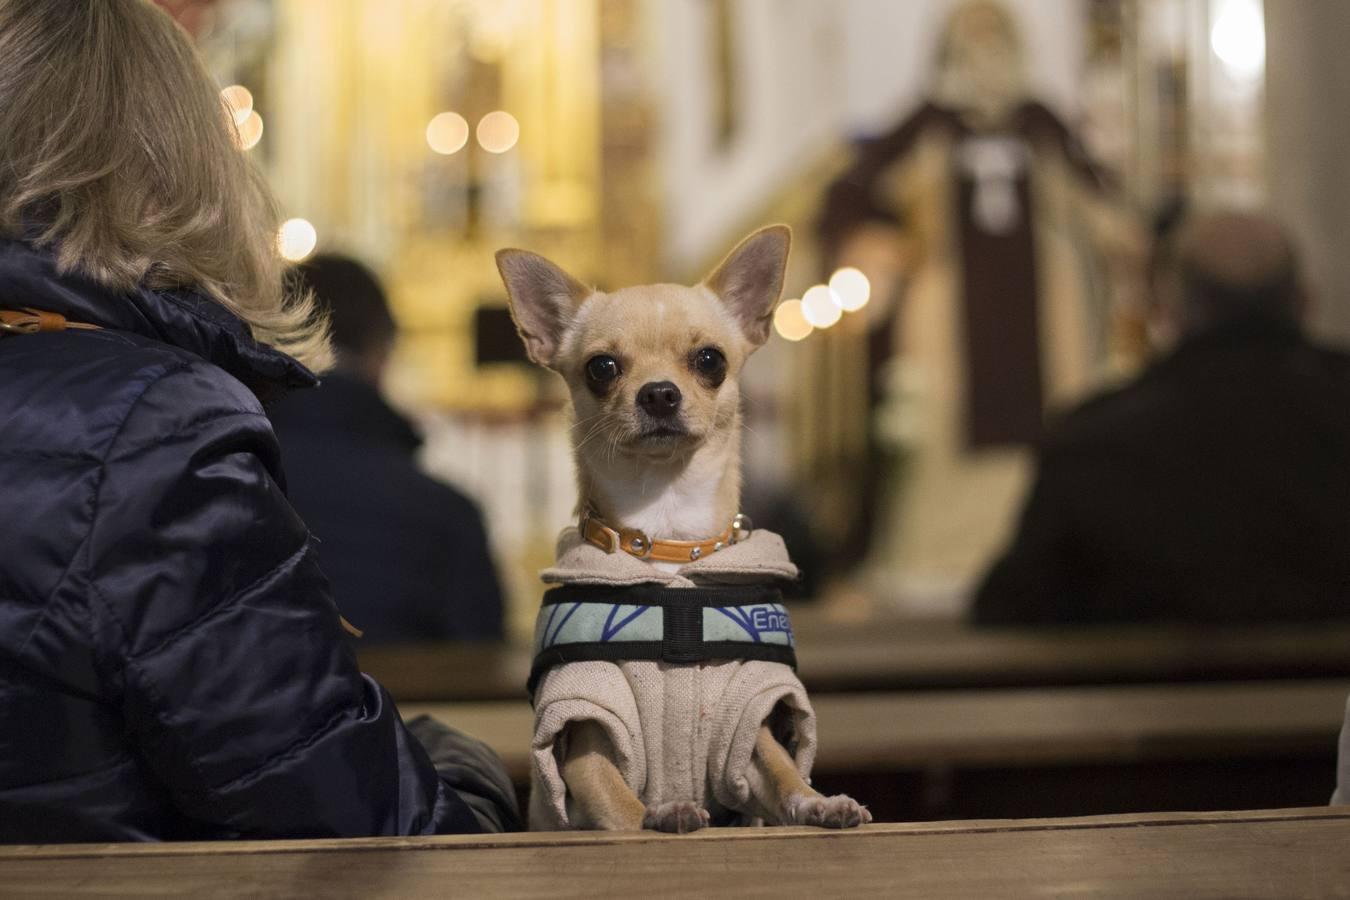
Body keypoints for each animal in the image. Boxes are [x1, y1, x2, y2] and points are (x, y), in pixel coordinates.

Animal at [494, 225, 864, 831]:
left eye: (710, 360)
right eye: (601, 368)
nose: (659, 392)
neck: (666, 539)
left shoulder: (746, 722)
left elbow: (782, 769)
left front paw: (816, 800)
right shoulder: (588, 726)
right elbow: (617, 798)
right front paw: (658, 814)